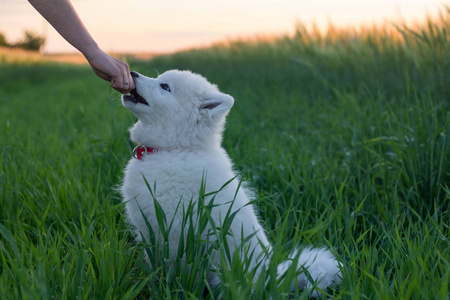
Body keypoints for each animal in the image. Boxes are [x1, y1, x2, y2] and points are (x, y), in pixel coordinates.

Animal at [119, 69, 342, 294]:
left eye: (165, 87)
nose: (132, 72)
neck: (175, 149)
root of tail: (275, 277)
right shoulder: (148, 230)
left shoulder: (172, 231)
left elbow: (170, 266)